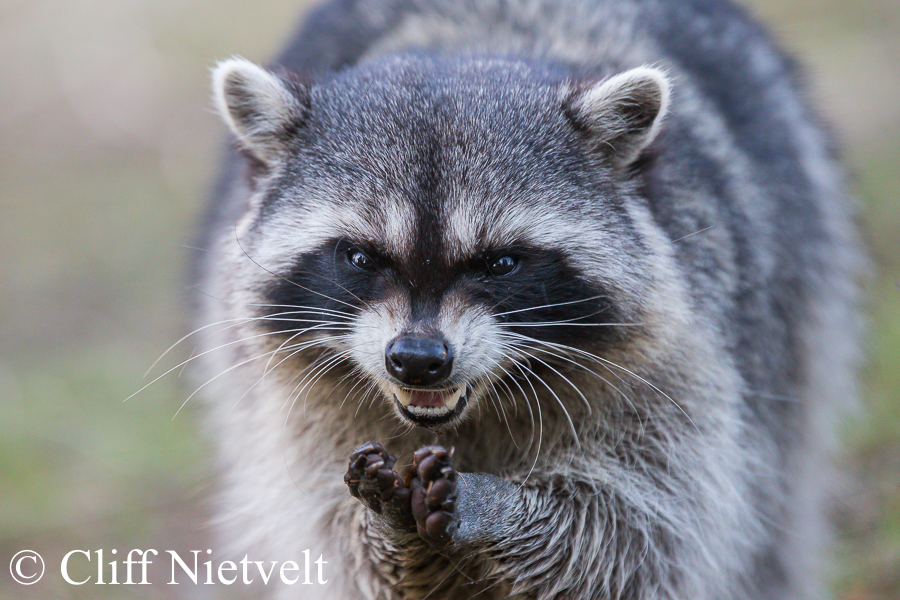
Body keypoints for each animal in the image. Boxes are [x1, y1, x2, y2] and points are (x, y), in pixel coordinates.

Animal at [191, 0, 862, 598]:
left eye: (500, 263)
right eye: (360, 257)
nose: (416, 361)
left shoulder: (682, 369)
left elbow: (628, 538)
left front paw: (498, 505)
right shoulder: (298, 411)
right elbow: (341, 549)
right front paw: (386, 533)